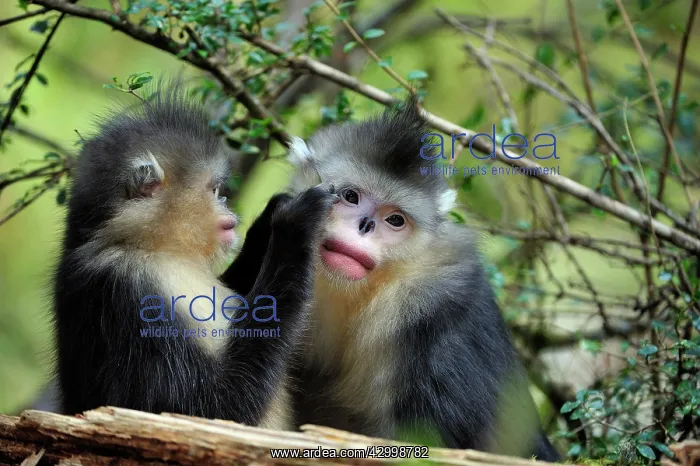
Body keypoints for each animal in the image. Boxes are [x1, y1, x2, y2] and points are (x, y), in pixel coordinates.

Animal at [52, 83, 337, 428]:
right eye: (215, 191)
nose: (229, 209)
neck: (147, 247)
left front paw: (273, 212)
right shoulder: (126, 293)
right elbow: (200, 407)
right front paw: (294, 223)